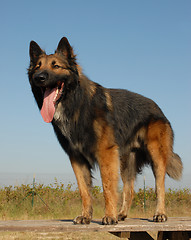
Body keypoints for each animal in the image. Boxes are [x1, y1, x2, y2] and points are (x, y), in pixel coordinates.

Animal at [28, 36, 182, 224]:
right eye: (37, 66)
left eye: (56, 66)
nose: (39, 77)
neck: (76, 105)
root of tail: (158, 108)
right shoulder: (77, 157)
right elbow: (84, 190)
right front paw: (86, 216)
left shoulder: (105, 153)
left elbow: (107, 187)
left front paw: (109, 216)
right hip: (126, 162)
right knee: (129, 190)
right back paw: (122, 214)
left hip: (156, 156)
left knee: (160, 187)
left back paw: (159, 214)